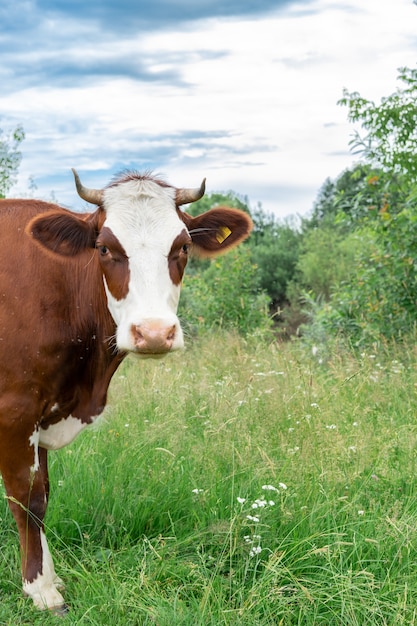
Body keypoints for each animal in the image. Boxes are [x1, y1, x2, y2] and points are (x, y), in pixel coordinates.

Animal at [0, 168, 252, 612]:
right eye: (104, 248)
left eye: (183, 246)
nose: (153, 333)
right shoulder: (15, 408)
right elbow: (25, 498)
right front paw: (39, 588)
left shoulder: (45, 410)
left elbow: (43, 493)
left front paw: (51, 576)